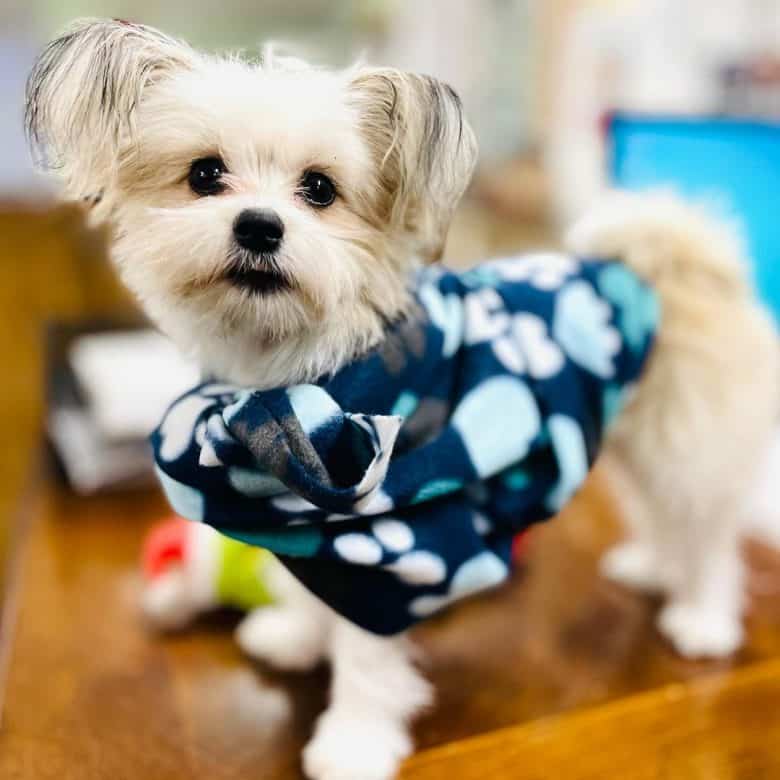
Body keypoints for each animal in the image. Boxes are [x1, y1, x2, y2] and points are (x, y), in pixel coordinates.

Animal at [25, 19, 780, 780]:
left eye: (319, 189)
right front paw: (298, 637)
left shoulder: (395, 544)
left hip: (687, 446)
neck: (298, 373)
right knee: (666, 517)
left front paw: (354, 742)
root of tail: (678, 263)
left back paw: (703, 616)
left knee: (711, 535)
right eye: (205, 174)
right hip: (629, 440)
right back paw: (656, 565)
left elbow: (366, 657)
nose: (260, 226)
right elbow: (310, 591)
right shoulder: (315, 522)